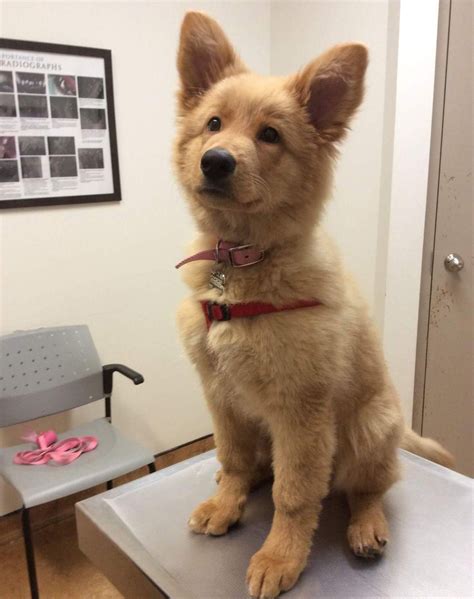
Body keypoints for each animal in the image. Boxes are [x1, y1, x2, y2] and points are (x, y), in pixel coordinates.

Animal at [173, 10, 452, 599]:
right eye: (213, 124)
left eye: (270, 135)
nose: (216, 162)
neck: (242, 264)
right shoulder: (221, 395)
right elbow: (233, 455)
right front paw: (227, 502)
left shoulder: (301, 412)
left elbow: (296, 494)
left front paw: (280, 557)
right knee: (260, 467)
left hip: (369, 429)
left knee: (368, 488)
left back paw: (367, 527)